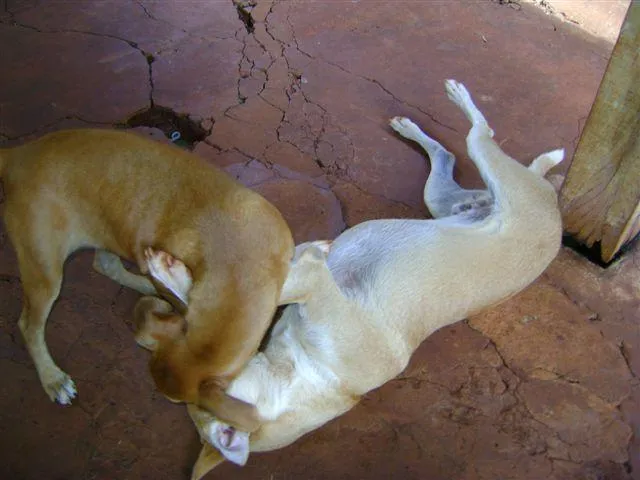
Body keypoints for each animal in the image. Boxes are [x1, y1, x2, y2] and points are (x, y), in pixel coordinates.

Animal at [0, 128, 294, 432]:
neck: (239, 270)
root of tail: (16, 155)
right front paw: (169, 276)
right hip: (45, 269)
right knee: (29, 325)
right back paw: (52, 378)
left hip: (107, 230)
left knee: (105, 265)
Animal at [142, 80, 564, 478]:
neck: (299, 375)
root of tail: (553, 208)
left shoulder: (312, 285)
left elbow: (264, 287)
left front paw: (173, 272)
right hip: (440, 200)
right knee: (449, 155)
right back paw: (414, 130)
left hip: (500, 178)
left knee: (481, 133)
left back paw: (460, 99)